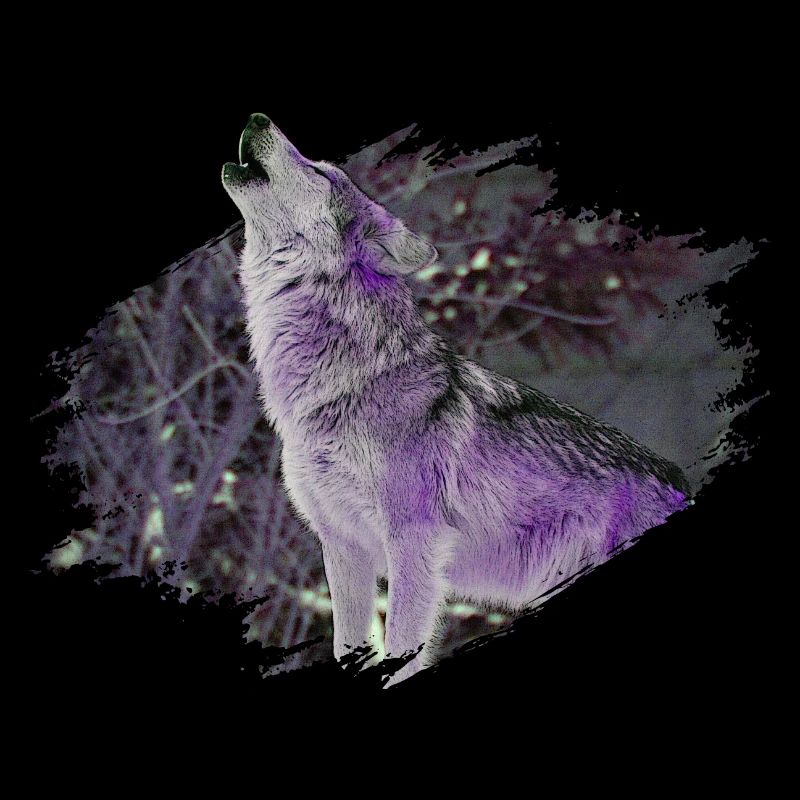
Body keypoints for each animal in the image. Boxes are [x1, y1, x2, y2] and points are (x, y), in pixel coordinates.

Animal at [221, 113, 690, 686]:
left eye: (321, 172)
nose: (257, 117)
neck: (339, 384)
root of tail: (678, 484)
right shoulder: (344, 549)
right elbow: (348, 648)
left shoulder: (413, 546)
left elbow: (401, 656)